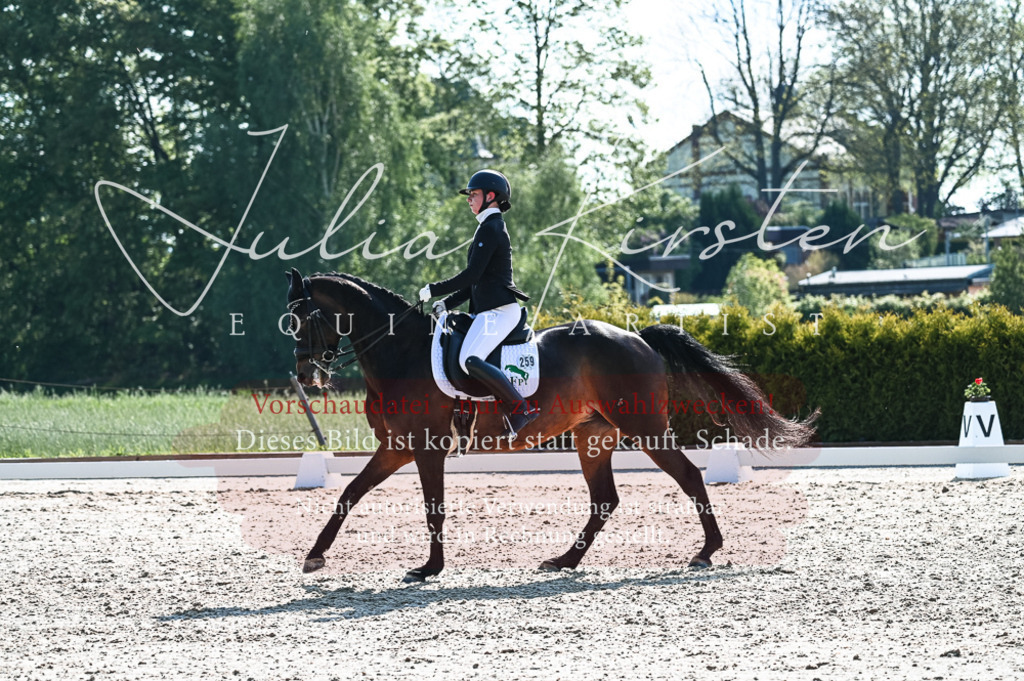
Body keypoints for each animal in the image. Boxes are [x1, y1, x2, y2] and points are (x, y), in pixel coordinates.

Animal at [285, 269, 817, 581]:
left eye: (302, 316)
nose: (306, 376)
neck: (401, 351)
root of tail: (639, 338)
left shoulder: (427, 447)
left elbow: (433, 509)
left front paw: (429, 568)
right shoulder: (397, 446)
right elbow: (348, 493)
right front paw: (315, 555)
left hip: (645, 427)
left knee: (687, 476)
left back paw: (706, 551)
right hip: (593, 436)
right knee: (604, 500)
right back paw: (564, 561)